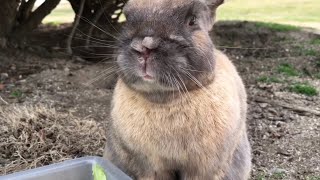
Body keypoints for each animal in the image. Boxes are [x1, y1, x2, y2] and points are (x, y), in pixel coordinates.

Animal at [104, 0, 251, 179]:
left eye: (192, 20)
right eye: (126, 18)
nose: (144, 47)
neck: (164, 98)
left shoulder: (203, 167)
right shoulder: (151, 166)